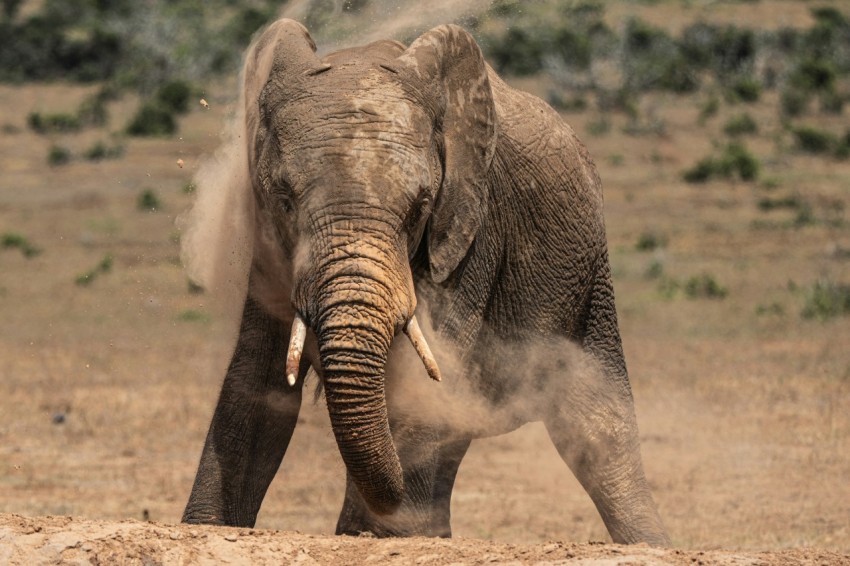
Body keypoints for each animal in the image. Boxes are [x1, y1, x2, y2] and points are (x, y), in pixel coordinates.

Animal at [182, 18, 670, 546]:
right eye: (285, 200)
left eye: (420, 207)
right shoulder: (268, 244)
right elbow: (255, 381)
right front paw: (208, 526)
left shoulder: (470, 232)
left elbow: (423, 379)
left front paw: (372, 533)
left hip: (590, 279)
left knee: (596, 427)